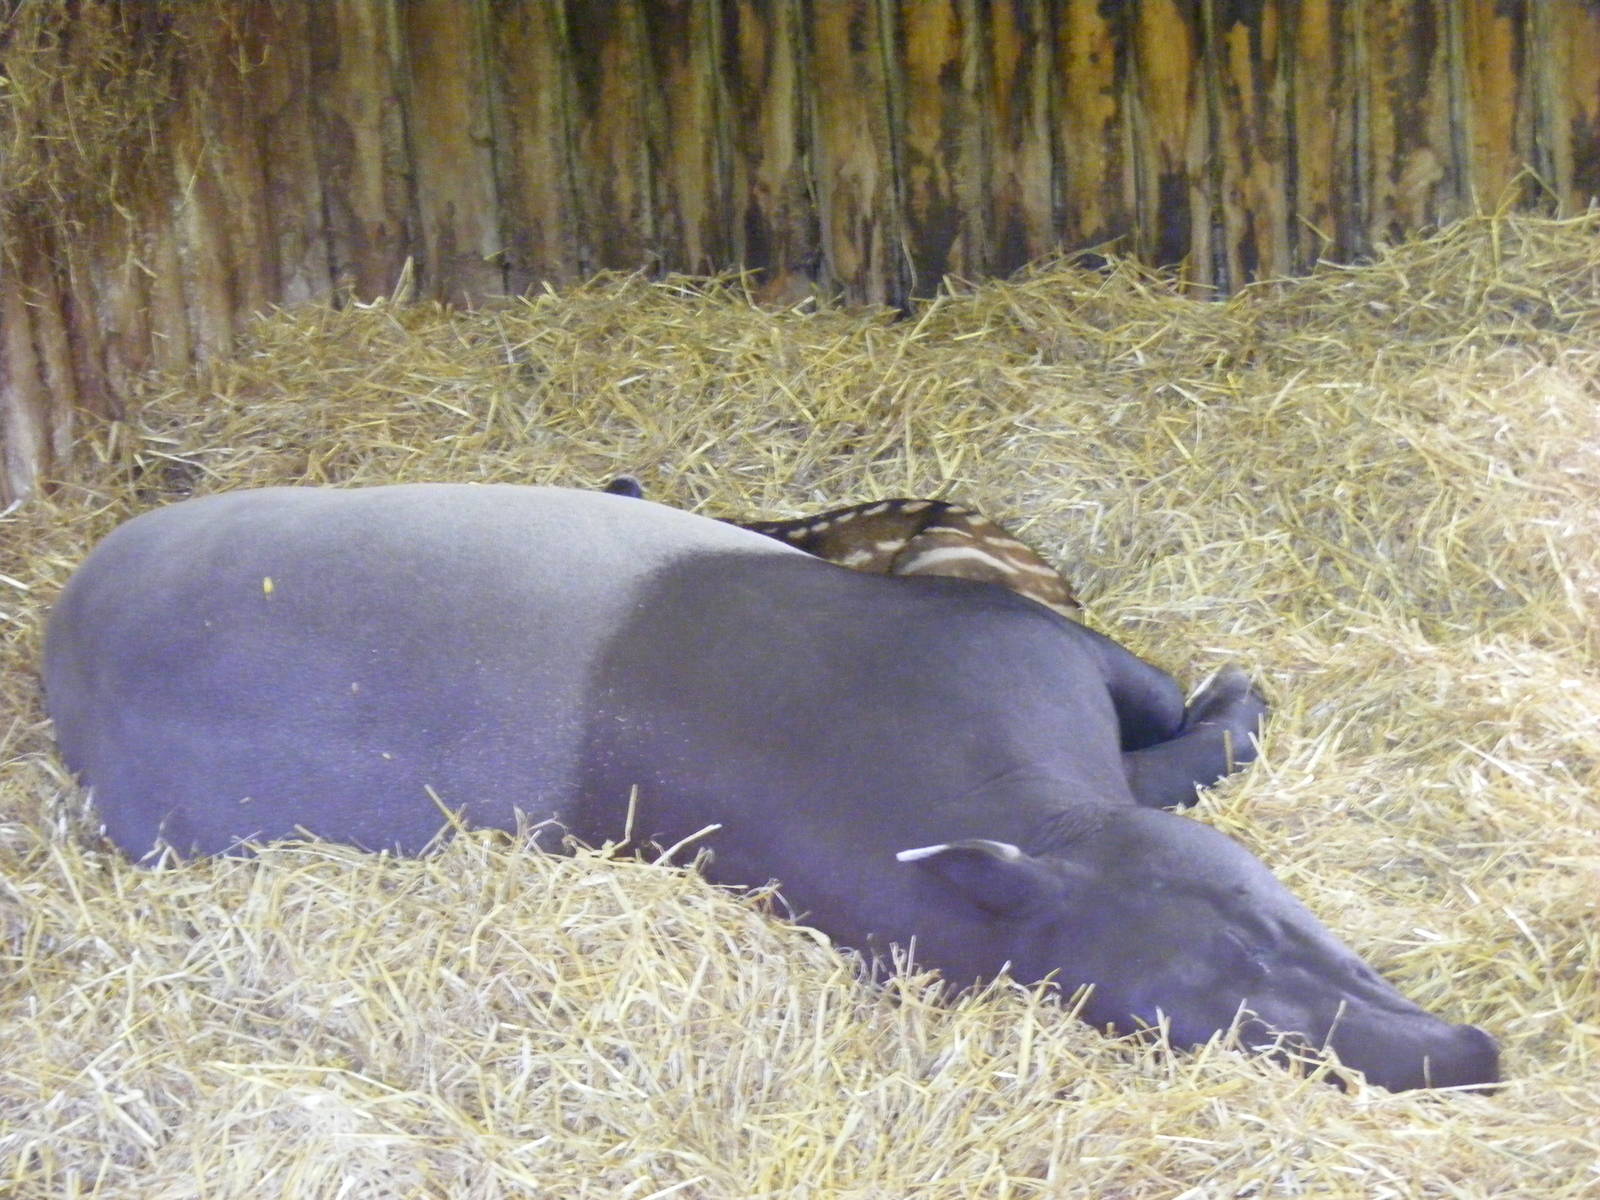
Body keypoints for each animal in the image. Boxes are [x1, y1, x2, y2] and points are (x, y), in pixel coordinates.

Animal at [41, 483, 1498, 1092]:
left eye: (1274, 923)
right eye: (1176, 1025)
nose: (1465, 1061)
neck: (1021, 821)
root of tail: (64, 648)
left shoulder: (1003, 646)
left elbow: (1154, 702)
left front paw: (1226, 697)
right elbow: (1183, 760)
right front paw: (1230, 710)